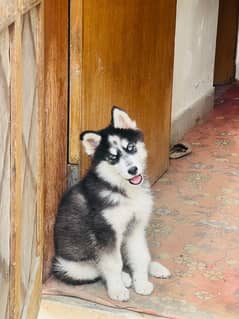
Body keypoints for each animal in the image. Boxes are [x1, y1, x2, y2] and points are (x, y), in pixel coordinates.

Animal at [52, 107, 172, 302]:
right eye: (112, 157)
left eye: (130, 147)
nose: (133, 170)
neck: (124, 192)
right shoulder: (106, 232)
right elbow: (113, 264)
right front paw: (117, 289)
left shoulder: (135, 227)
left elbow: (140, 256)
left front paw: (142, 282)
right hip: (67, 267)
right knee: (98, 268)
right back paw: (124, 278)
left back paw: (153, 268)